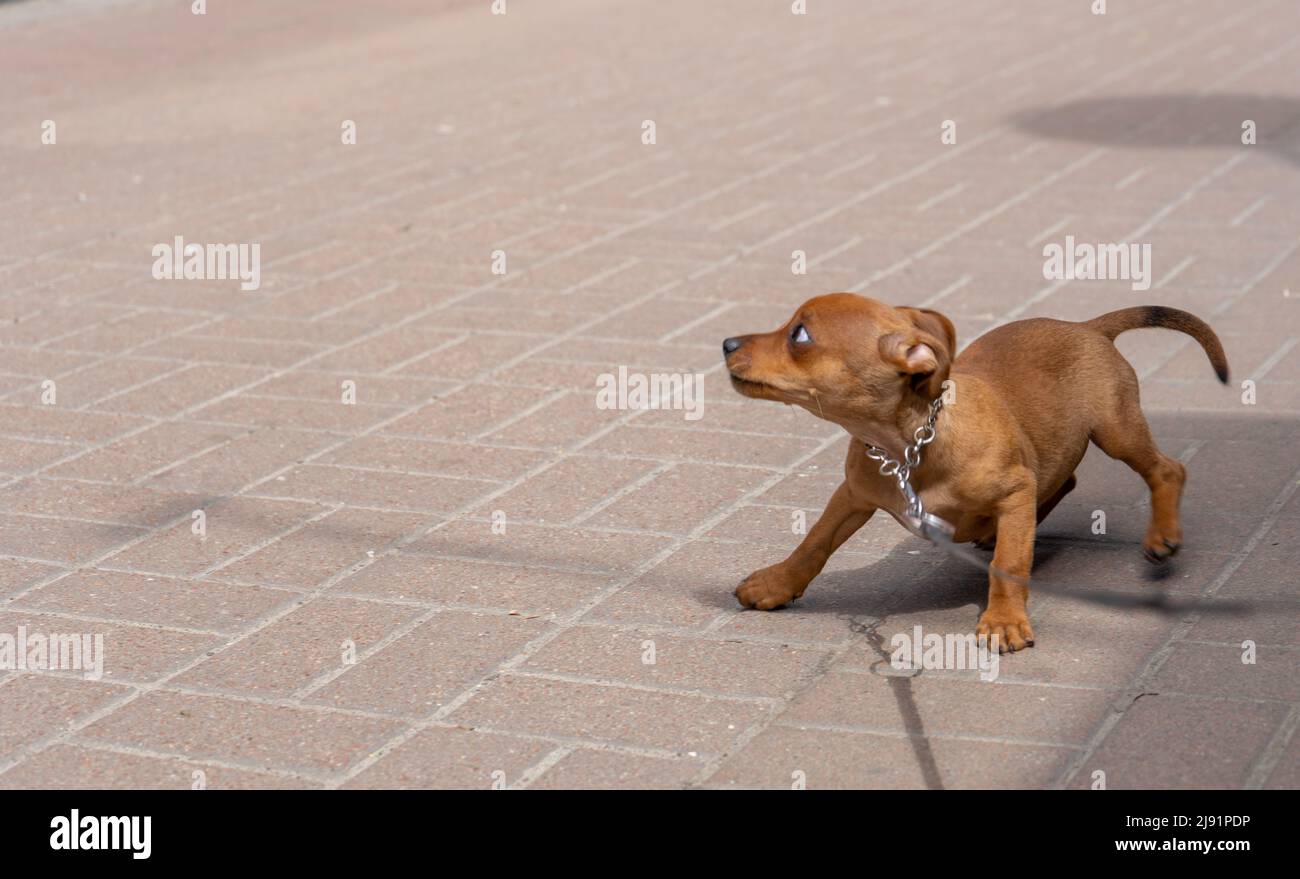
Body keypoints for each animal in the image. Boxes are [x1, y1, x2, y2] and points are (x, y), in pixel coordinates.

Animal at [722, 295, 1227, 652]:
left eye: (800, 335)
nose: (726, 343)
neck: (909, 449)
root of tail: (1088, 327)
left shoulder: (1014, 491)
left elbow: (1009, 563)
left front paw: (1004, 620)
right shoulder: (853, 495)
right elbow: (814, 543)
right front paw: (776, 584)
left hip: (1115, 429)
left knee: (1167, 469)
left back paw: (1161, 535)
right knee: (1063, 480)